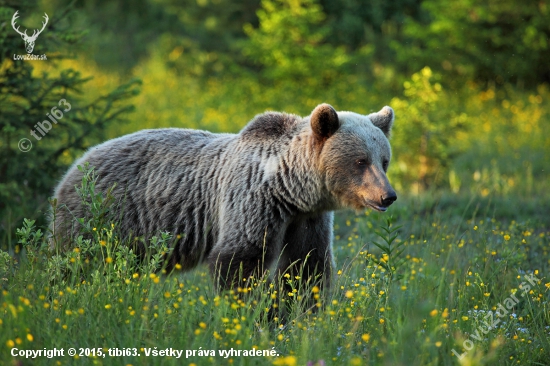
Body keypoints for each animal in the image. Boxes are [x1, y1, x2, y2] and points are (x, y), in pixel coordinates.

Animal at [50, 104, 396, 290]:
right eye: (360, 161)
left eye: (384, 160)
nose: (388, 195)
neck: (293, 189)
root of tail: (75, 165)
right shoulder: (253, 201)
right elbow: (239, 260)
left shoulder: (308, 218)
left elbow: (306, 267)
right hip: (102, 215)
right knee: (74, 262)